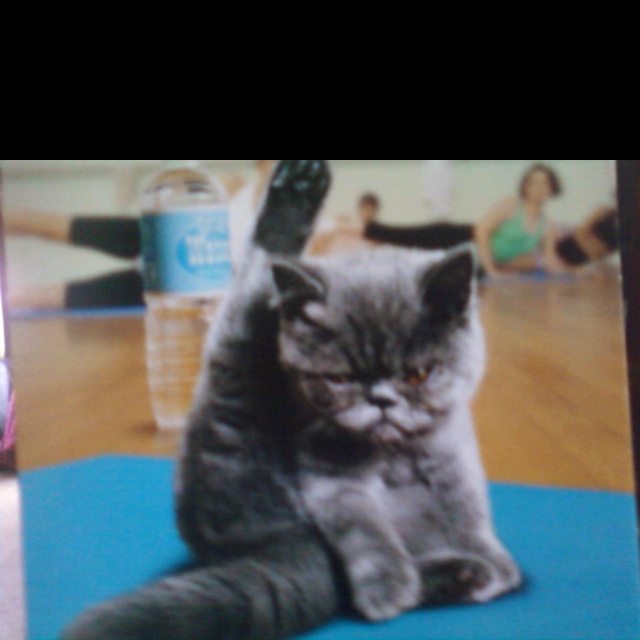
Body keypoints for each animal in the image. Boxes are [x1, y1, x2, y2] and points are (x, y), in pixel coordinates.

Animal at [62, 162, 520, 640]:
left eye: (418, 374)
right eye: (339, 379)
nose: (380, 400)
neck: (392, 451)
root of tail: (276, 540)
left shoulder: (454, 457)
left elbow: (467, 510)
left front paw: (495, 561)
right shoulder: (330, 478)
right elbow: (365, 530)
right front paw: (387, 587)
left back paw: (464, 572)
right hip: (236, 387)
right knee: (248, 291)